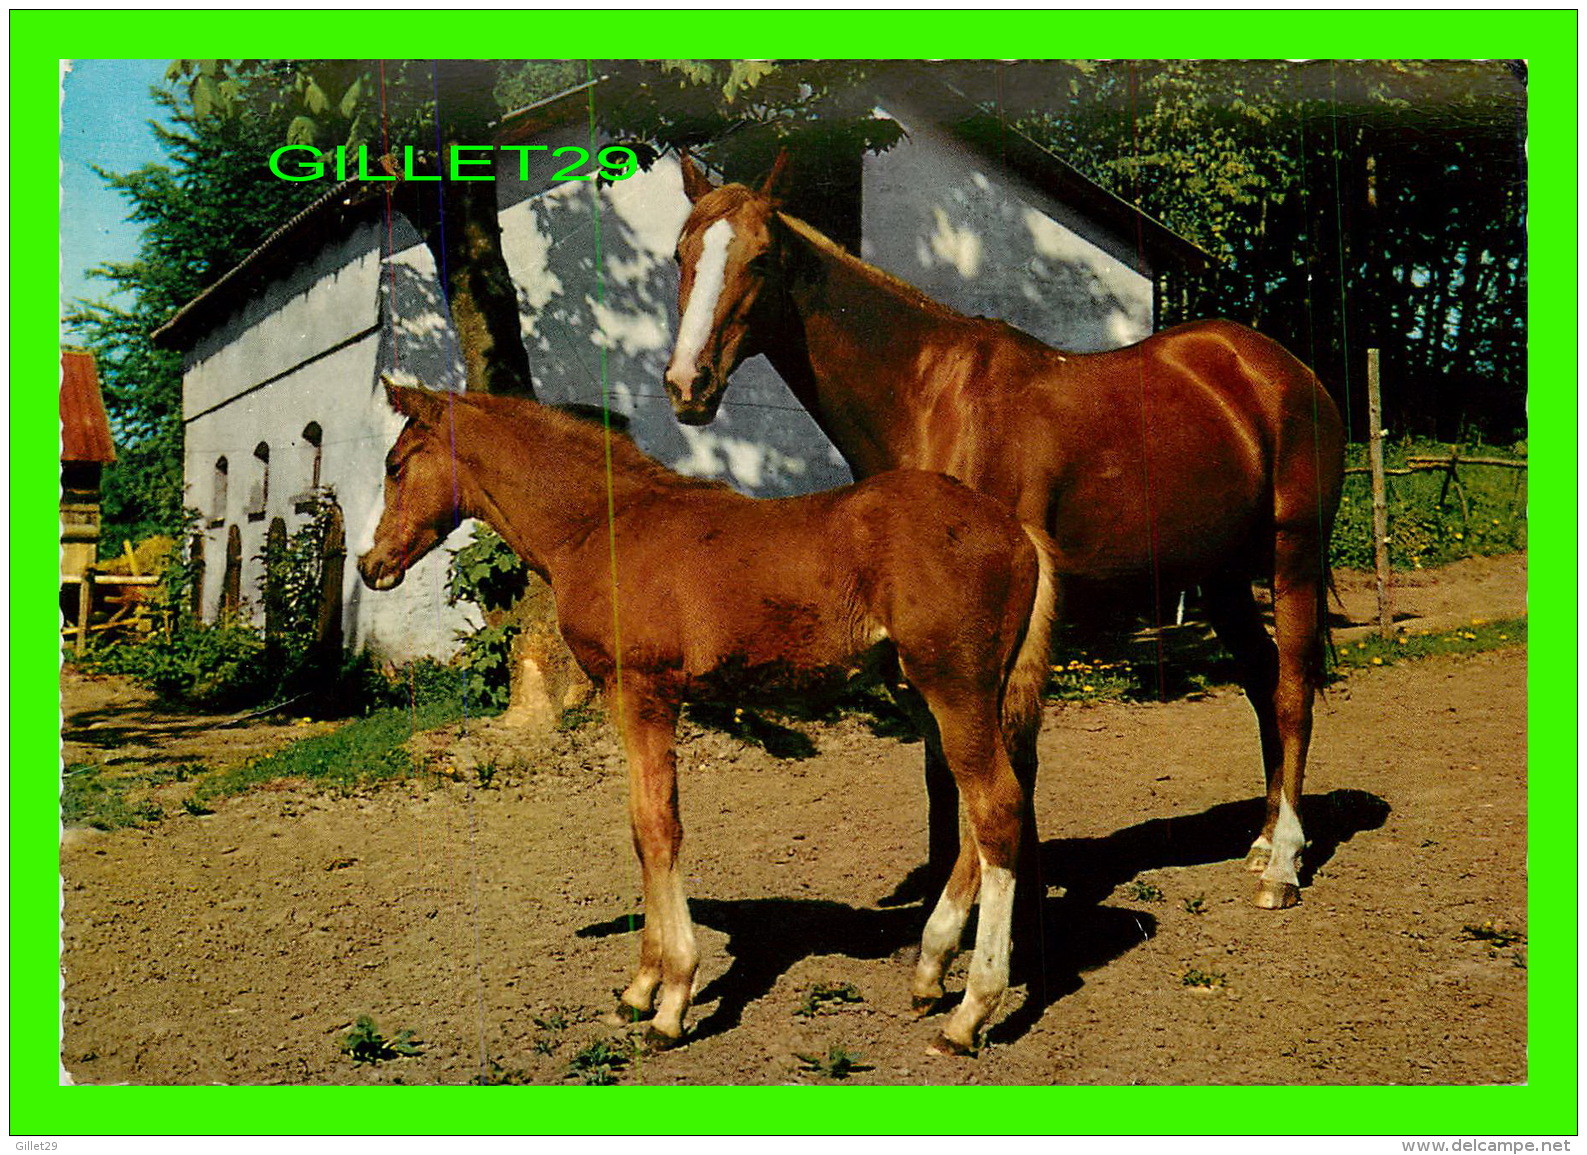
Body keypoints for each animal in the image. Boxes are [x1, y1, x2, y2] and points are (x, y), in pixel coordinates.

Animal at [358, 380, 1053, 1053]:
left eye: (394, 464)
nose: (370, 565)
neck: (602, 526)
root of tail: (1016, 530)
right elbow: (641, 830)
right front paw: (637, 990)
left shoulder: (641, 694)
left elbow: (657, 828)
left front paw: (671, 1001)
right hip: (936, 693)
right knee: (990, 806)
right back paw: (929, 974)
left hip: (955, 688)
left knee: (996, 808)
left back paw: (969, 1013)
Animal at [663, 155, 1345, 913]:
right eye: (681, 256)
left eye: (760, 258)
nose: (687, 384)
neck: (930, 401)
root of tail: (1278, 368)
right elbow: (943, 764)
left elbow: (1007, 758)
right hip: (1220, 577)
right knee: (1260, 681)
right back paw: (1262, 841)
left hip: (1292, 557)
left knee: (1290, 689)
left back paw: (1283, 863)